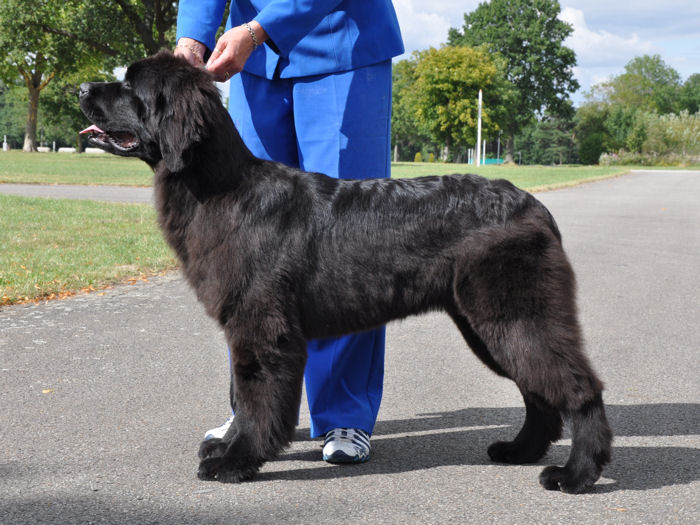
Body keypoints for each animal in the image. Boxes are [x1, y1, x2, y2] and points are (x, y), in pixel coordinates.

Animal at [79, 51, 608, 494]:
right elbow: (242, 394)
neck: (220, 188)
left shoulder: (261, 328)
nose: (81, 87)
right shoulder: (246, 326)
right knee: (539, 393)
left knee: (578, 388)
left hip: (513, 318)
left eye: (130, 86)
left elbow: (255, 399)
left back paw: (576, 474)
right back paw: (520, 451)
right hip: (488, 327)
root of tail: (534, 206)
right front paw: (227, 447)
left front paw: (236, 460)